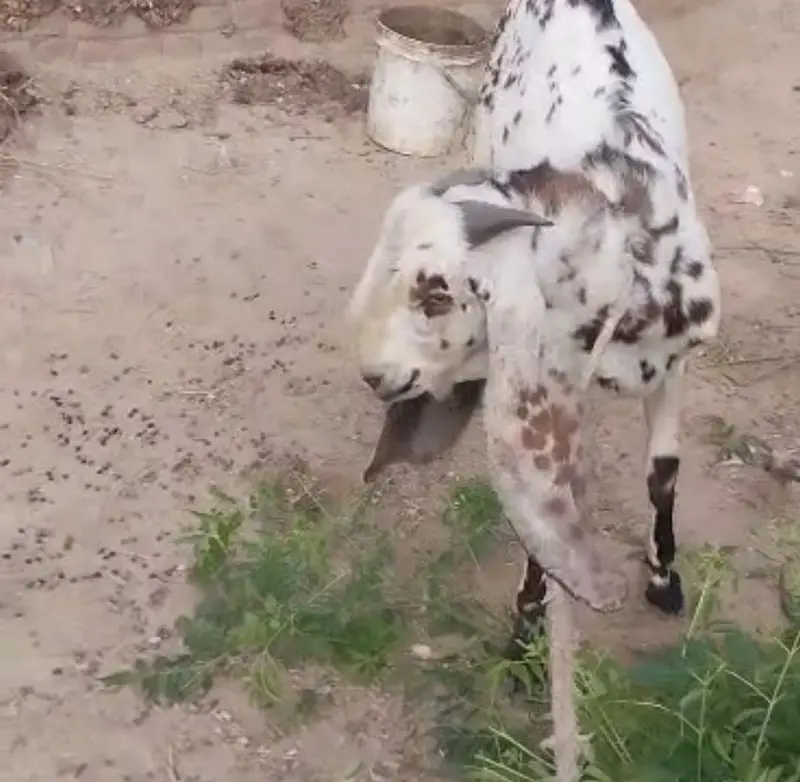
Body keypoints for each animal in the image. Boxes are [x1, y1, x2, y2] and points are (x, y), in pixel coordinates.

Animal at [347, 0, 721, 657]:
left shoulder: (672, 363)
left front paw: (664, 580)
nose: (374, 374)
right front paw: (525, 634)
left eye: (438, 292)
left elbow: (663, 474)